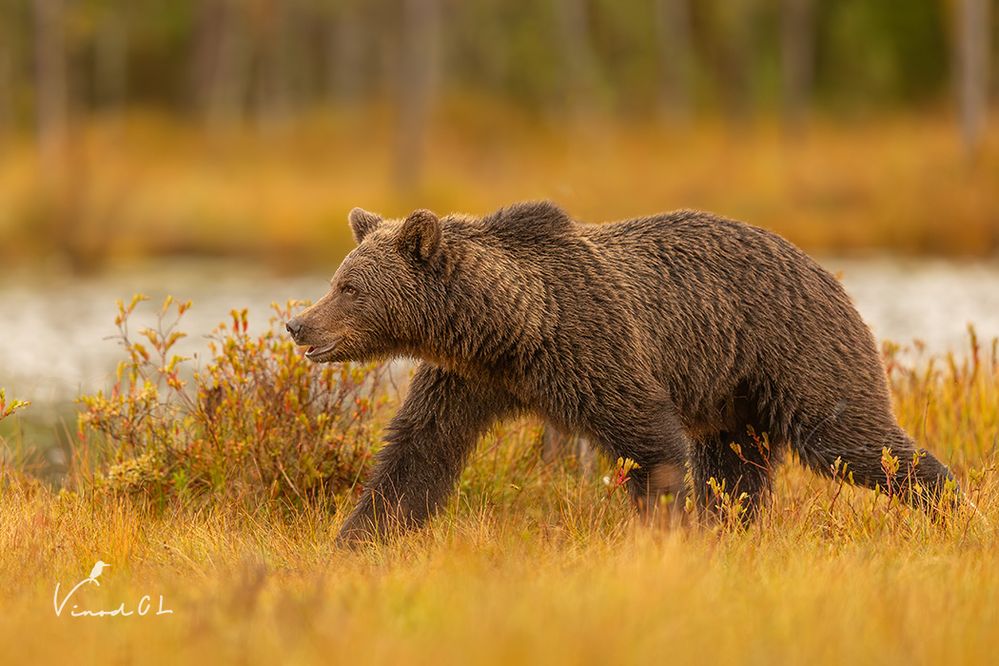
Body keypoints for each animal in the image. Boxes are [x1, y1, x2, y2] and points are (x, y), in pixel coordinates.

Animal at [286, 200, 956, 544]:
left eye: (348, 287)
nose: (299, 325)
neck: (509, 328)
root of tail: (828, 273)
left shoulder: (593, 348)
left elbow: (648, 443)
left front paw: (668, 531)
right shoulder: (467, 380)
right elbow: (418, 453)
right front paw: (357, 539)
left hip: (798, 352)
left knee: (852, 440)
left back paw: (947, 503)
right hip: (733, 399)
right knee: (734, 469)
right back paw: (732, 530)